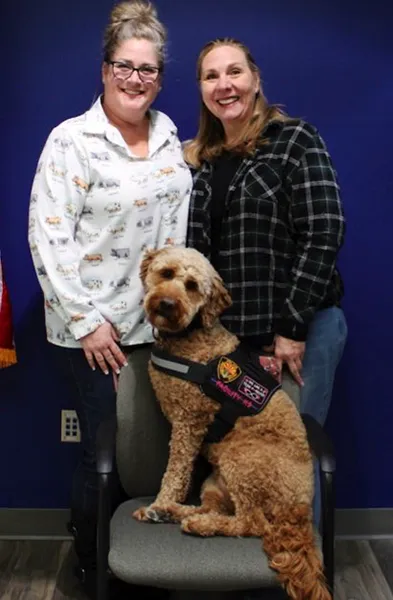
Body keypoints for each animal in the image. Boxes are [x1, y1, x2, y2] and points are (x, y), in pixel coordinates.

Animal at [132, 246, 330, 596]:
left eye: (192, 286)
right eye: (167, 273)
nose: (167, 304)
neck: (191, 335)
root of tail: (299, 511)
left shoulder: (188, 423)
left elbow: (175, 473)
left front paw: (162, 497)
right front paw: (162, 504)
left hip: (241, 461)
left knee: (250, 522)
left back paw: (192, 522)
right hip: (215, 482)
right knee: (216, 509)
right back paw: (170, 513)